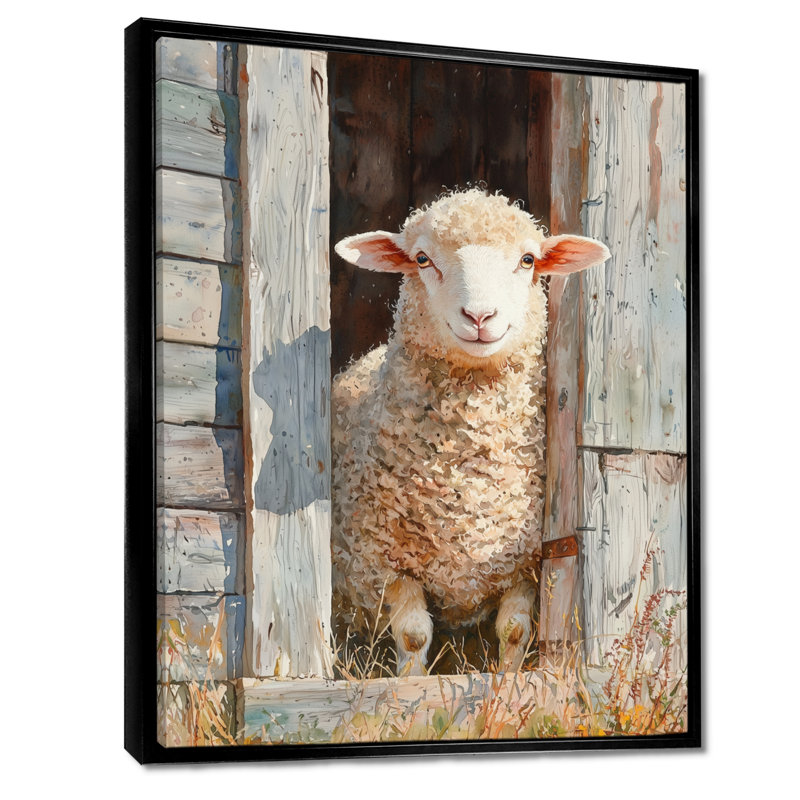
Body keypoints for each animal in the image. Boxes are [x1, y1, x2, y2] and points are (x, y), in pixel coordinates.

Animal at [331, 188, 610, 675]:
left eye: (527, 260)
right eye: (422, 259)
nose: (480, 316)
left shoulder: (524, 562)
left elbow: (514, 632)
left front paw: (507, 682)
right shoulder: (383, 558)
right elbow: (413, 635)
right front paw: (408, 686)